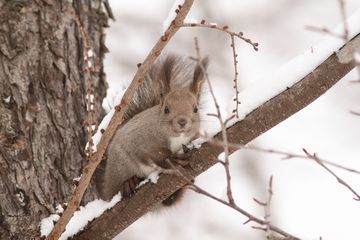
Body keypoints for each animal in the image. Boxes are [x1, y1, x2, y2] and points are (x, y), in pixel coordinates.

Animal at [95, 54, 208, 206]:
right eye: (166, 109)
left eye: (195, 109)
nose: (182, 121)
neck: (176, 138)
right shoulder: (139, 139)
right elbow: (152, 154)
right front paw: (172, 160)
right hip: (121, 166)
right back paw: (128, 183)